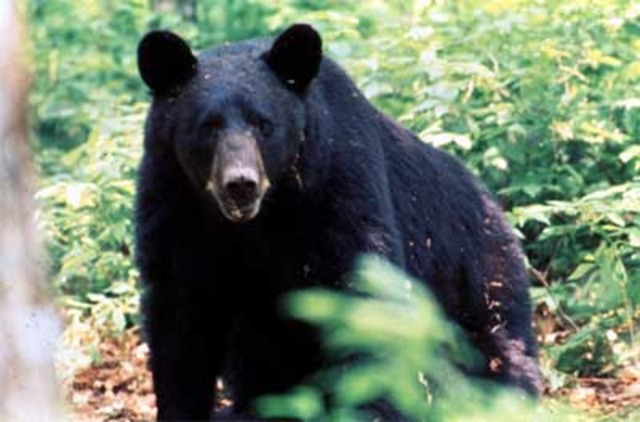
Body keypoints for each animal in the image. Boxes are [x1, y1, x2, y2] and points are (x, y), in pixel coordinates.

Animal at [135, 23, 541, 421]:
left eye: (264, 124)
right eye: (208, 126)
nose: (240, 184)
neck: (258, 221)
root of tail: (497, 210)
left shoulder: (339, 187)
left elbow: (363, 297)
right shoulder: (173, 204)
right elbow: (180, 321)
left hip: (475, 281)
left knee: (495, 354)